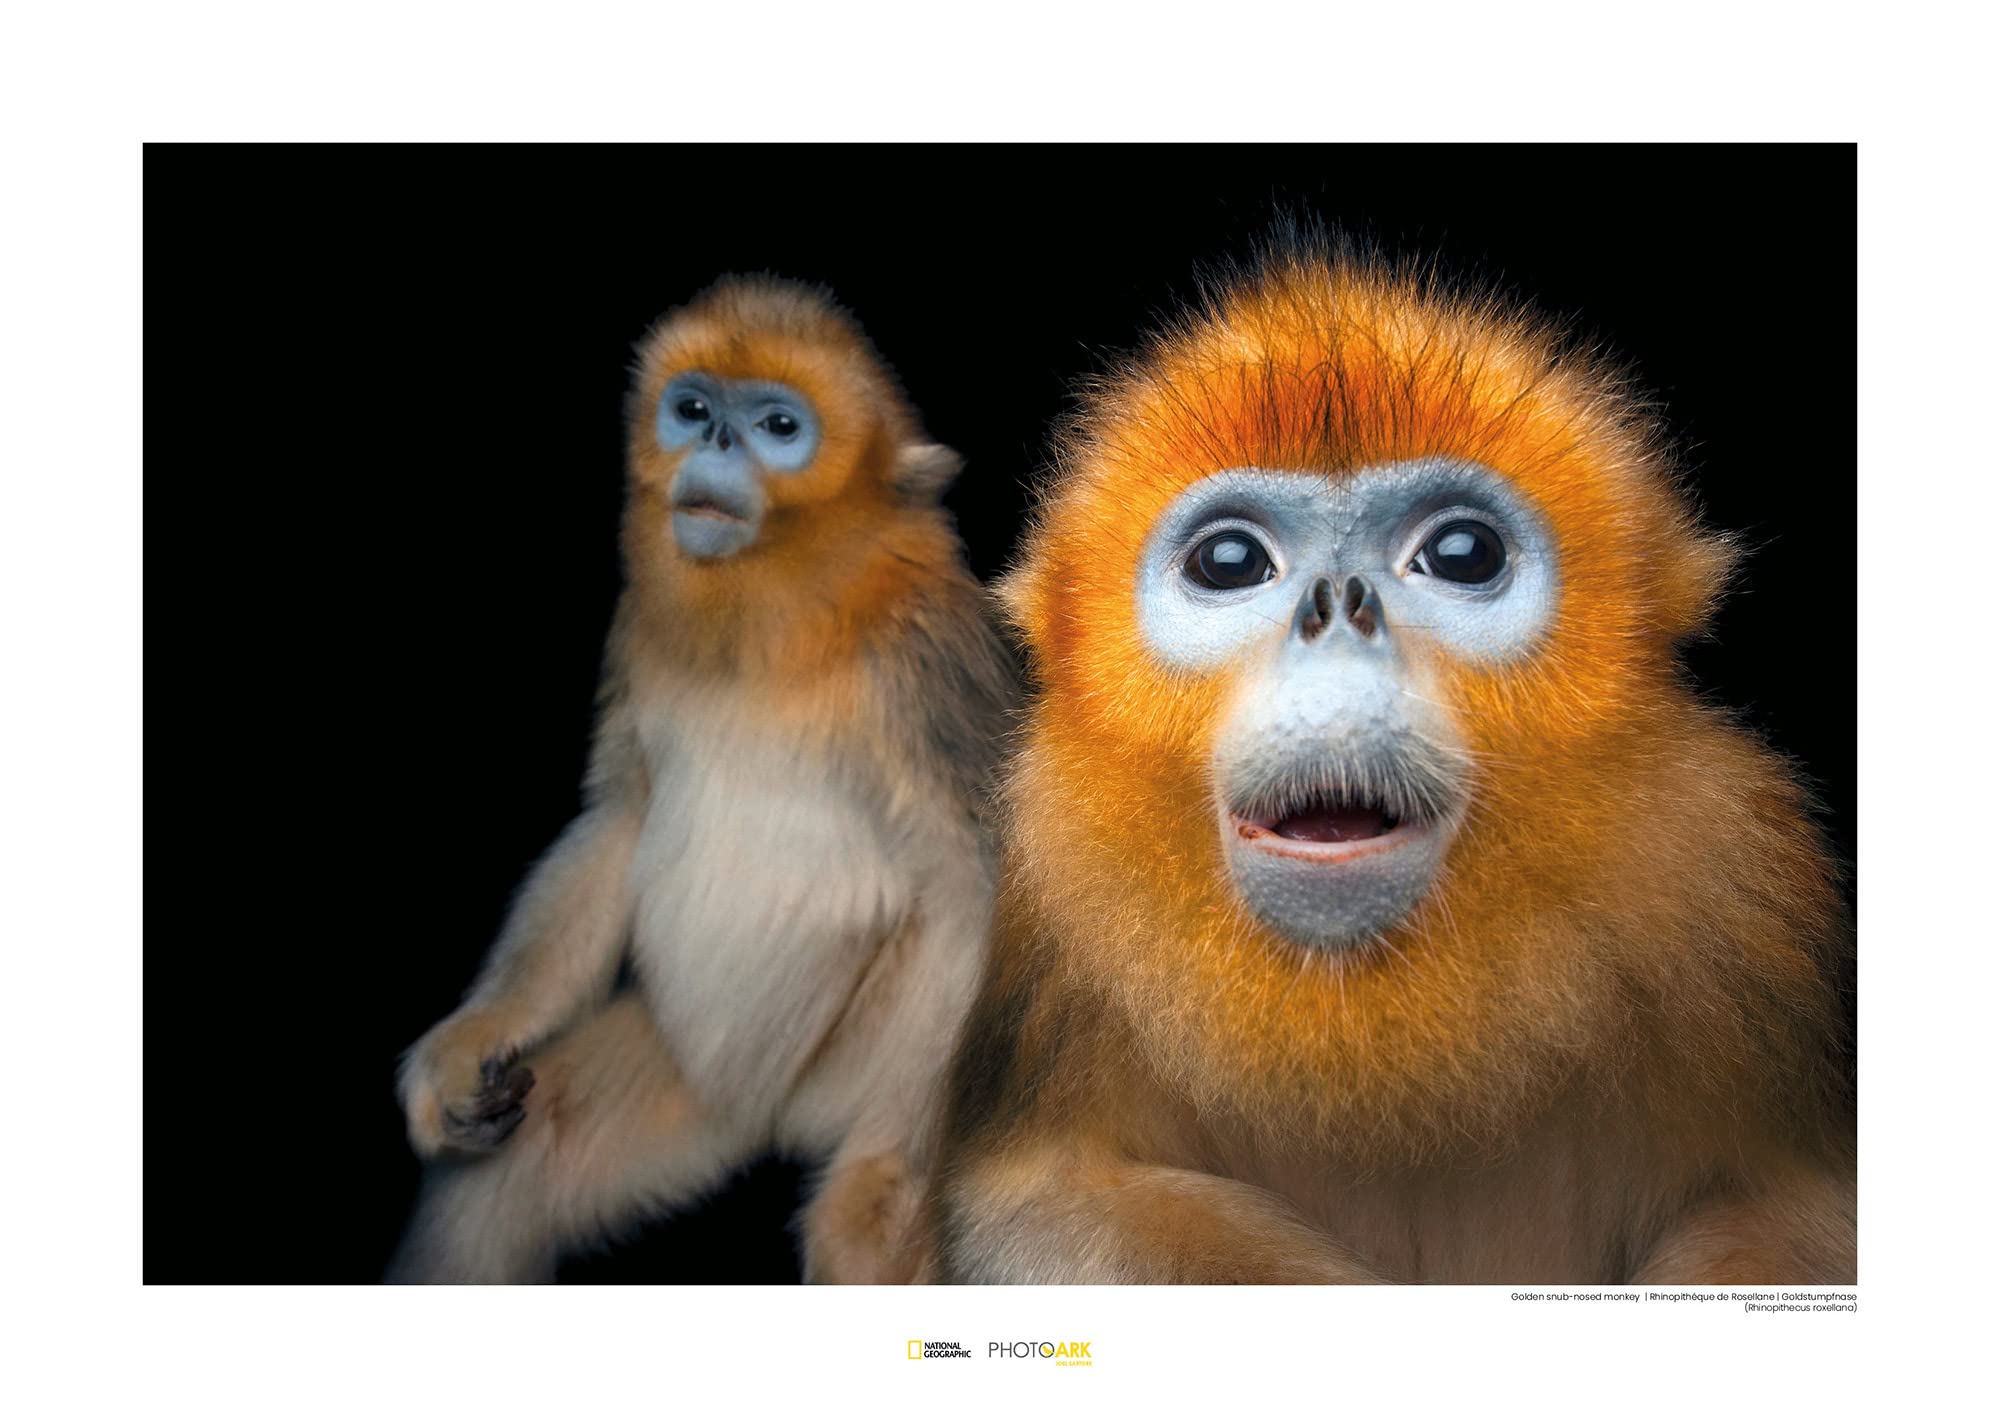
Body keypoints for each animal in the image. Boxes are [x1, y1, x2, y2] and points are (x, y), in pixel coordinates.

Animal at [389, 276, 1017, 1283]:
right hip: (696, 1082)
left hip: (868, 1067)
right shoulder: (636, 625)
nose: (716, 441)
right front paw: (468, 1040)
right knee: (511, 1168)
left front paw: (883, 1192)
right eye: (691, 409)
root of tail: (774, 1118)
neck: (777, 622)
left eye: (777, 426)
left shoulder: (926, 663)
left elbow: (983, 892)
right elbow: (620, 817)